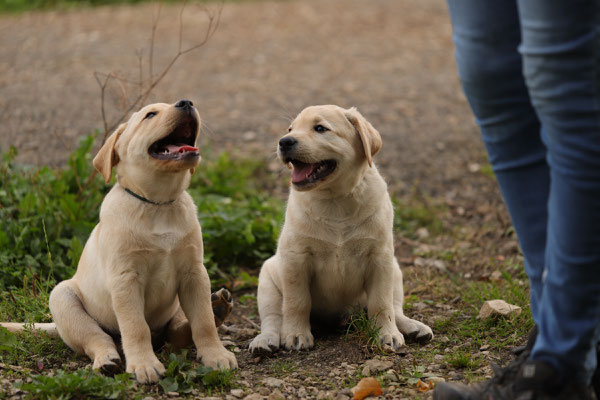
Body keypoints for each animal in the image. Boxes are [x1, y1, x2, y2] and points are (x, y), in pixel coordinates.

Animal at [1, 99, 237, 382]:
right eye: (150, 115)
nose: (186, 102)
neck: (158, 204)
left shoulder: (194, 273)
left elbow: (202, 322)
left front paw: (215, 354)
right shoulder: (126, 279)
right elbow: (136, 327)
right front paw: (144, 364)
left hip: (178, 305)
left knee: (177, 332)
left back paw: (217, 308)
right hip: (63, 299)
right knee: (98, 337)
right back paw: (107, 360)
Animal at [247, 105, 432, 354]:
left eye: (320, 128)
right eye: (290, 129)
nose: (284, 141)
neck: (335, 200)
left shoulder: (380, 258)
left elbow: (381, 303)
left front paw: (386, 335)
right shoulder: (296, 258)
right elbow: (297, 301)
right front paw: (296, 334)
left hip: (395, 271)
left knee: (395, 308)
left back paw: (413, 327)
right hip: (268, 280)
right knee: (273, 317)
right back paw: (265, 340)